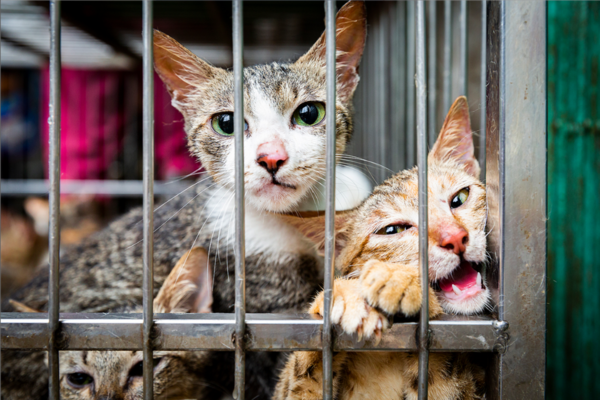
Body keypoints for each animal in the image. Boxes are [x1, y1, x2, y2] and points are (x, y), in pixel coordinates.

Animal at [274, 97, 490, 400]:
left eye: (459, 198)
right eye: (392, 230)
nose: (456, 238)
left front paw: (397, 278)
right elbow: (300, 371)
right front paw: (347, 295)